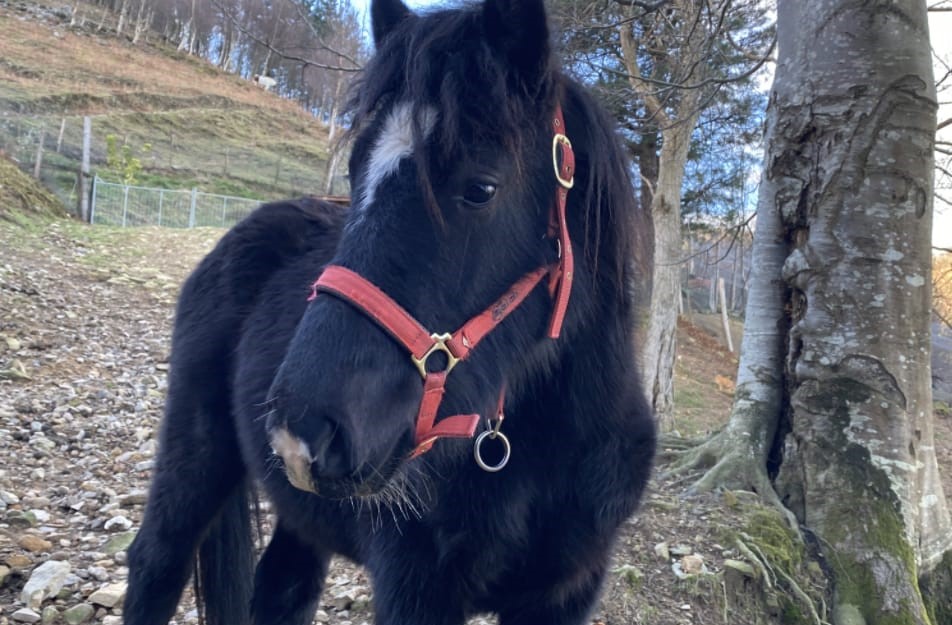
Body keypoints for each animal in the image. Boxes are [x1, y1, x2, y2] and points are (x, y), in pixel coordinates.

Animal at [123, 0, 656, 623]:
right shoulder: (416, 589)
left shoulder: (566, 595)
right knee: (158, 564)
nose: (303, 432)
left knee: (283, 586)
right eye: (356, 173)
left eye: (480, 188)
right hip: (195, 458)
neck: (548, 450)